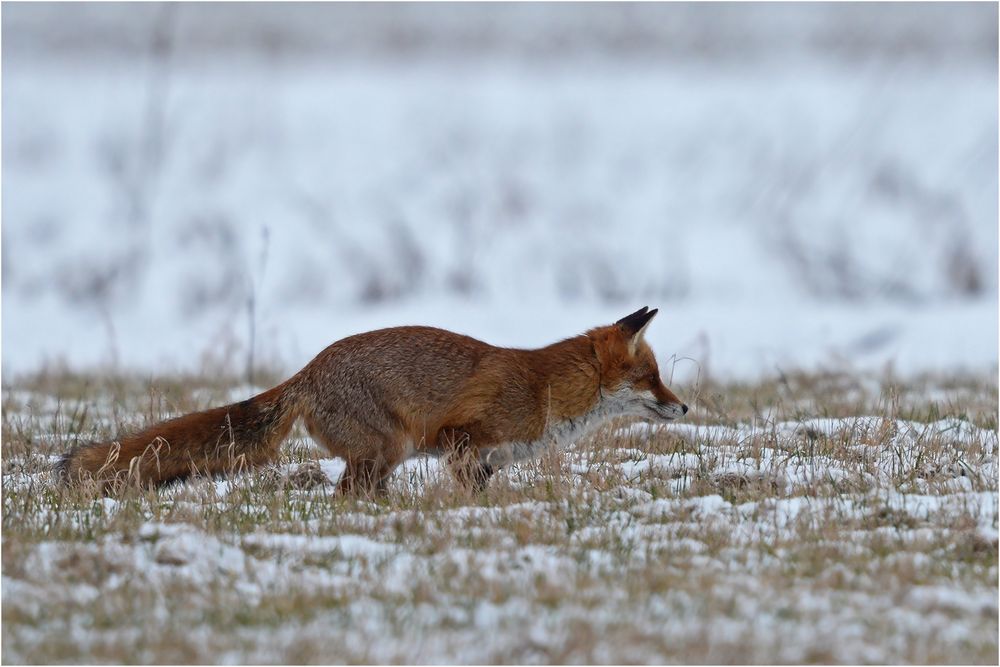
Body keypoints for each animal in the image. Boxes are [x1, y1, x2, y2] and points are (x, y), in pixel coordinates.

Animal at [58, 308, 688, 496]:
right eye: (652, 378)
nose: (684, 409)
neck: (546, 392)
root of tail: (308, 370)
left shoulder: (485, 459)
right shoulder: (462, 438)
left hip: (386, 456)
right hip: (390, 445)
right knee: (346, 495)